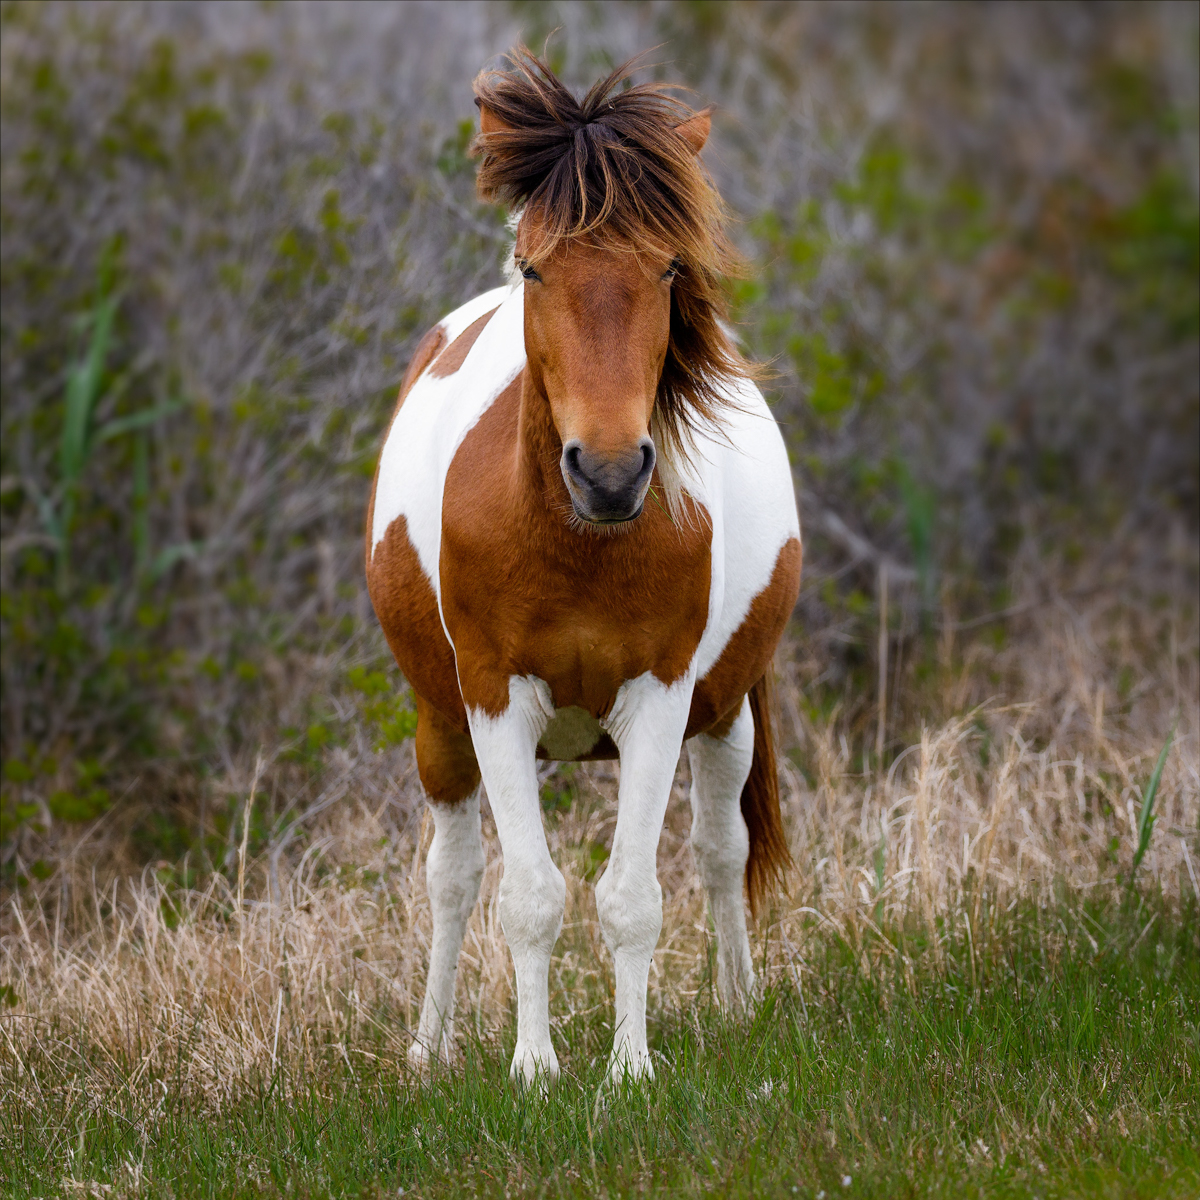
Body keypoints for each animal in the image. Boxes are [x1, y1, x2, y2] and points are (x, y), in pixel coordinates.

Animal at [366, 49, 801, 1086]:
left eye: (670, 265)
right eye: (533, 265)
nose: (607, 473)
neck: (576, 546)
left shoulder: (661, 695)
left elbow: (632, 897)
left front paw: (629, 1069)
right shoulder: (494, 699)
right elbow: (528, 895)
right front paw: (534, 1070)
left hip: (725, 715)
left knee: (720, 849)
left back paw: (739, 1005)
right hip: (441, 726)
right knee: (452, 878)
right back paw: (429, 1047)